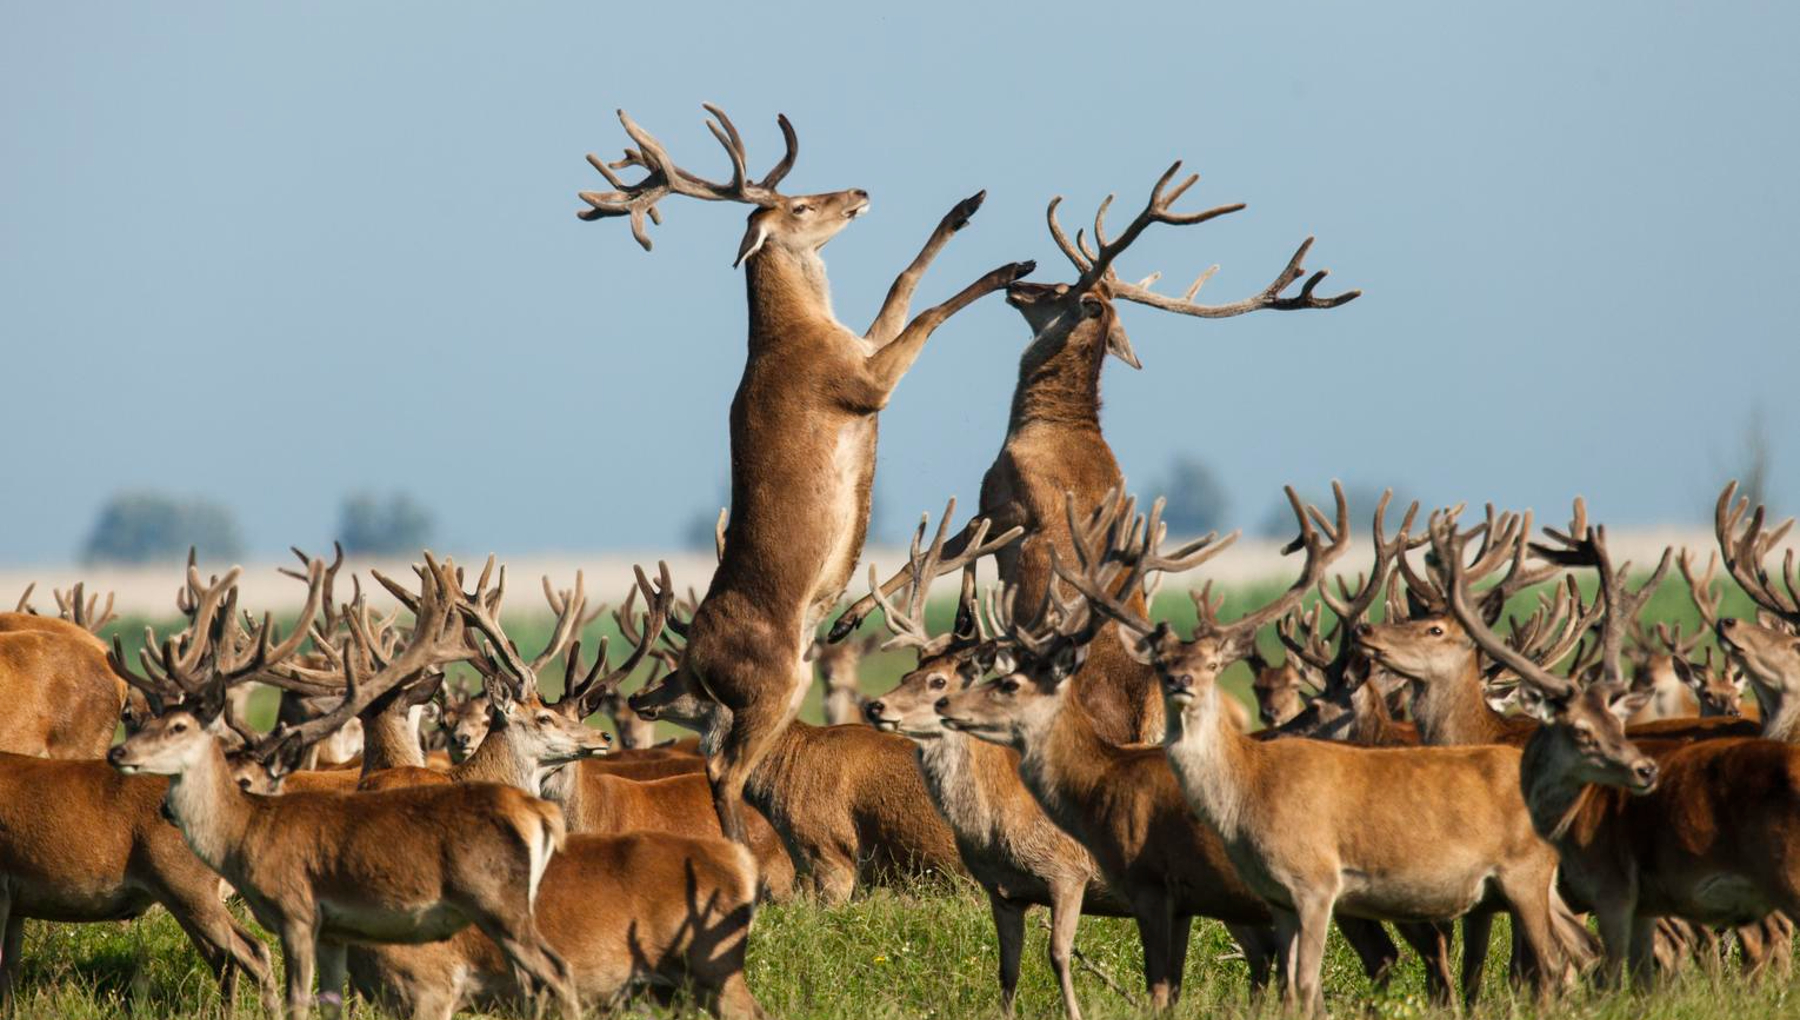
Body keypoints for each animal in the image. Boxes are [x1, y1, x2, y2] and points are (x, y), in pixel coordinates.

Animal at [576, 107, 1029, 849]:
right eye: (800, 206)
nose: (858, 192)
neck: (804, 333)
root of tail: (693, 657)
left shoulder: (866, 346)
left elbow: (901, 283)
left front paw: (967, 209)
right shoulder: (862, 383)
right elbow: (926, 312)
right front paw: (1009, 266)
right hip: (774, 684)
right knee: (723, 768)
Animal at [835, 163, 1353, 744]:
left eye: (1064, 288)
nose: (1017, 284)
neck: (1050, 425)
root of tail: (1144, 722)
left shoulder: (1009, 502)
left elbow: (942, 553)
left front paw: (852, 618)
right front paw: (956, 619)